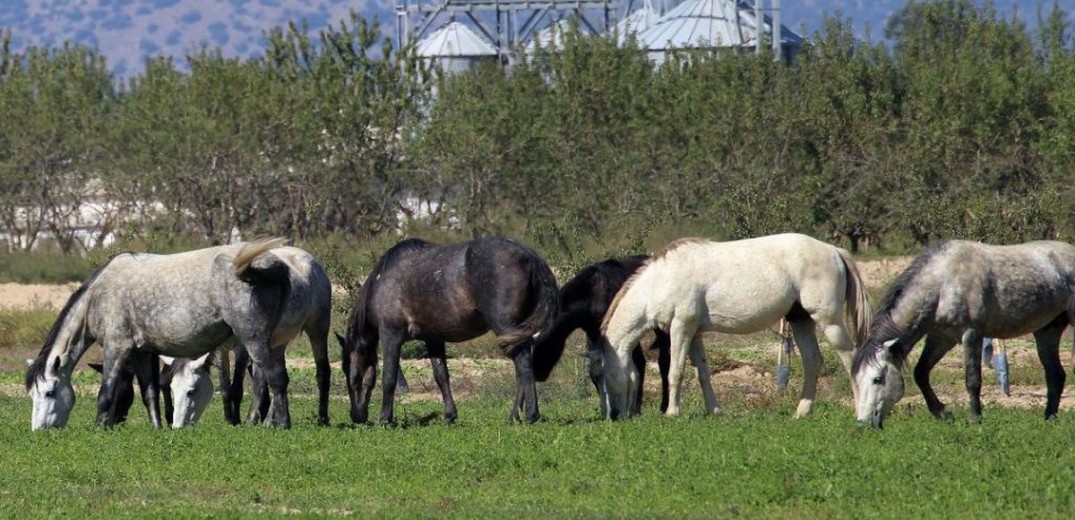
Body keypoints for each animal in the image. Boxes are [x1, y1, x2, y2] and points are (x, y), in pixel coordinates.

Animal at [335, 237, 559, 425]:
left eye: (350, 373)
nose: (356, 416)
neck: (383, 281)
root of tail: (529, 255)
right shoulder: (433, 339)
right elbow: (441, 375)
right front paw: (450, 415)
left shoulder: (391, 335)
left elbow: (389, 377)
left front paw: (385, 418)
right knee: (523, 366)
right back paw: (515, 415)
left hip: (506, 327)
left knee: (523, 364)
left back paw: (530, 415)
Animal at [531, 253, 670, 416]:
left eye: (544, 344)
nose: (538, 374)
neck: (591, 296)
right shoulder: (593, 333)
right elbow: (595, 370)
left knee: (664, 362)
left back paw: (663, 406)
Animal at [597, 233, 872, 421]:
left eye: (605, 375)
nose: (614, 416)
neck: (660, 280)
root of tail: (834, 250)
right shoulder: (694, 333)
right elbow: (703, 373)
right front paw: (714, 410)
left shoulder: (681, 328)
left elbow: (676, 371)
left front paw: (672, 412)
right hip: (801, 321)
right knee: (813, 362)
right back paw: (802, 411)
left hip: (829, 320)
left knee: (851, 358)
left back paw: (861, 412)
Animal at [847, 239, 1075, 427]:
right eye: (856, 381)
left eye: (877, 379)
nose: (863, 424)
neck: (942, 282)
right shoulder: (941, 338)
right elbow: (921, 373)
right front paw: (943, 414)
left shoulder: (971, 334)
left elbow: (972, 380)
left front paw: (975, 418)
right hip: (1047, 331)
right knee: (1055, 375)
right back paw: (1049, 418)